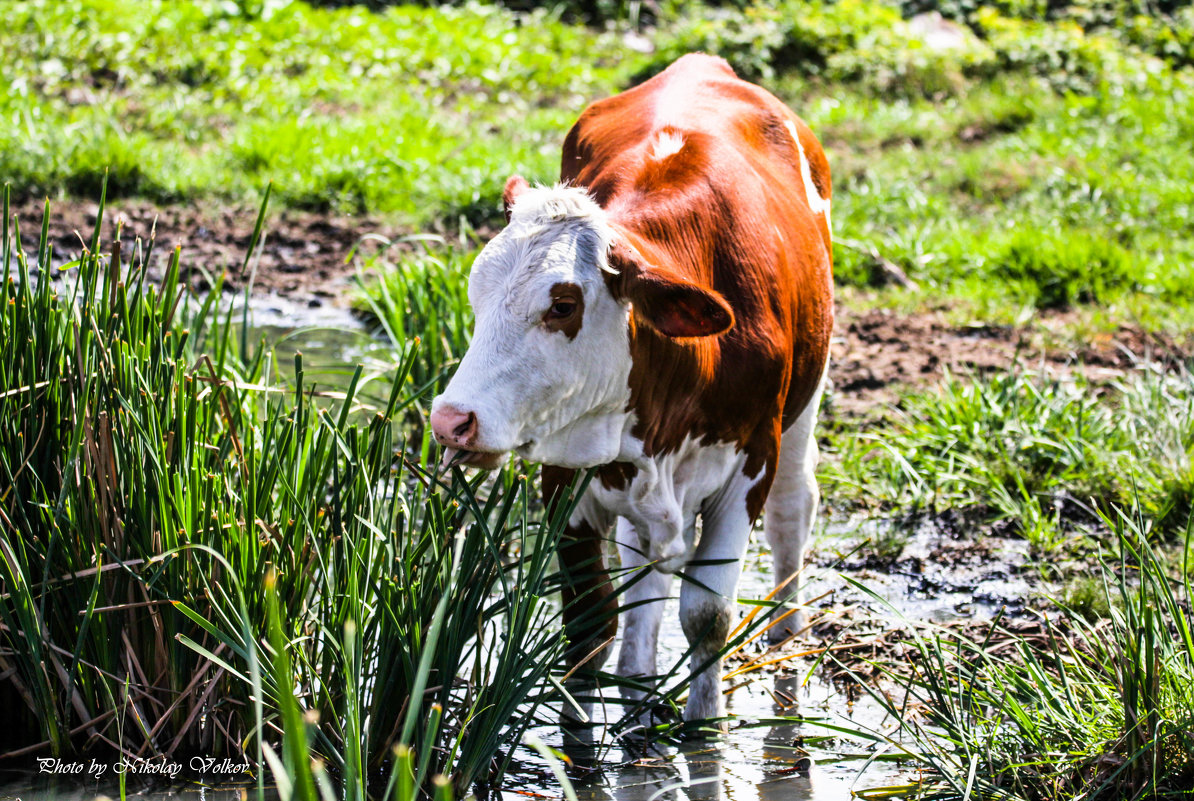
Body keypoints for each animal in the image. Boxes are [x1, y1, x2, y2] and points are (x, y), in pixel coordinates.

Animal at [429, 53, 831, 725]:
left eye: (562, 304)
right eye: (475, 293)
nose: (452, 420)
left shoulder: (750, 465)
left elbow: (706, 616)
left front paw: (704, 729)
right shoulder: (565, 472)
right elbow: (590, 623)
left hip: (804, 408)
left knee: (793, 511)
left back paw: (786, 629)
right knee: (645, 567)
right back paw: (639, 686)